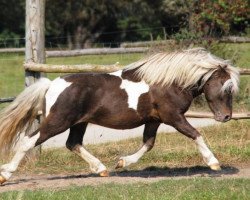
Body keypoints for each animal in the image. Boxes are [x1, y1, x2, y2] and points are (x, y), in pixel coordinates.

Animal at [0, 47, 239, 184]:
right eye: (226, 87)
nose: (226, 117)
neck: (169, 82)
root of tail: (51, 85)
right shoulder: (173, 116)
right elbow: (196, 134)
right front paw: (214, 163)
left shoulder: (154, 120)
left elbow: (148, 144)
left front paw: (122, 162)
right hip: (57, 122)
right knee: (28, 141)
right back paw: (5, 175)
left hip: (79, 123)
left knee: (73, 143)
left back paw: (102, 169)